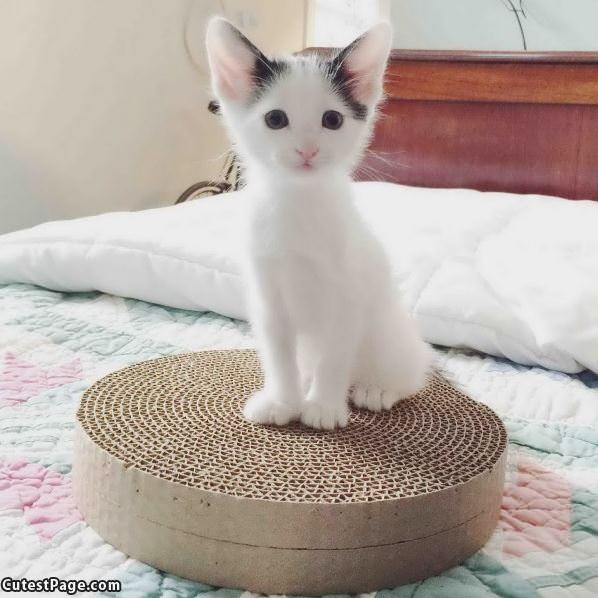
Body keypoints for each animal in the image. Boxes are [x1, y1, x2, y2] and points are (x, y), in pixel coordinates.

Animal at [206, 17, 432, 432]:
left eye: (332, 120)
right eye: (275, 119)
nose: (307, 150)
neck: (298, 204)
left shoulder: (349, 296)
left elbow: (335, 355)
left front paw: (324, 407)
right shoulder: (268, 297)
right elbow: (280, 355)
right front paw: (283, 401)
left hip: (391, 335)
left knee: (409, 375)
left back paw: (376, 388)